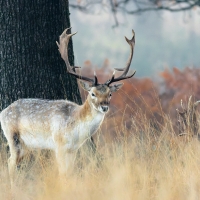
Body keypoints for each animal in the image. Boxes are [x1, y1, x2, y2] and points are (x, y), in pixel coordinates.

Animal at [0, 27, 136, 184]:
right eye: (92, 93)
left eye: (110, 94)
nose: (104, 107)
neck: (75, 130)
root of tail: (3, 112)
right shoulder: (58, 144)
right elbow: (62, 173)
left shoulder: (73, 149)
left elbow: (70, 173)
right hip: (12, 135)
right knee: (10, 162)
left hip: (25, 145)